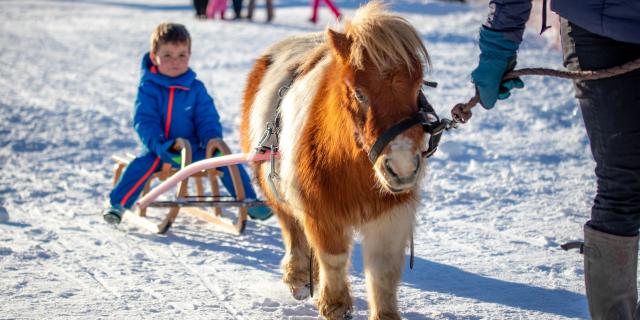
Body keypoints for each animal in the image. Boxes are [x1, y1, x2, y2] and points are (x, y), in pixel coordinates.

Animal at [240, 1, 430, 318]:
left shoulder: (391, 215)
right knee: (291, 227)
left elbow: (383, 272)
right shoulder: (321, 210)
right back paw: (298, 277)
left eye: (418, 88)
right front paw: (335, 304)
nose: (402, 167)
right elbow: (333, 256)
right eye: (359, 93)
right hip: (273, 185)